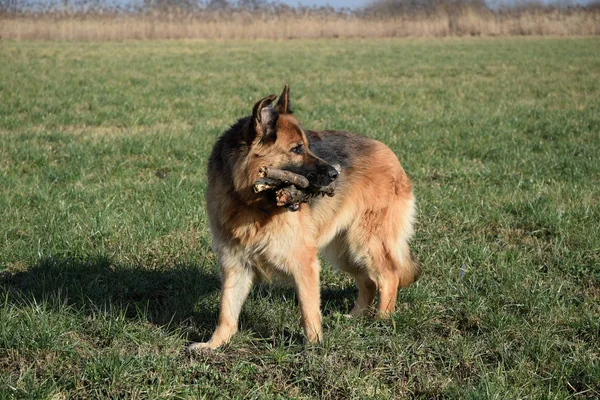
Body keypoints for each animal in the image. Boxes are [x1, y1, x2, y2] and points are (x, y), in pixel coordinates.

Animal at [190, 85, 420, 350]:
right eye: (297, 149)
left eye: (308, 146)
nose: (334, 174)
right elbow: (226, 310)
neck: (251, 203)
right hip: (343, 249)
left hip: (364, 242)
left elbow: (308, 310)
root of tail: (389, 153)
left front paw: (314, 346)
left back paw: (382, 320)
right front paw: (214, 344)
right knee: (369, 281)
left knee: (389, 275)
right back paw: (355, 317)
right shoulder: (235, 264)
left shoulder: (304, 262)